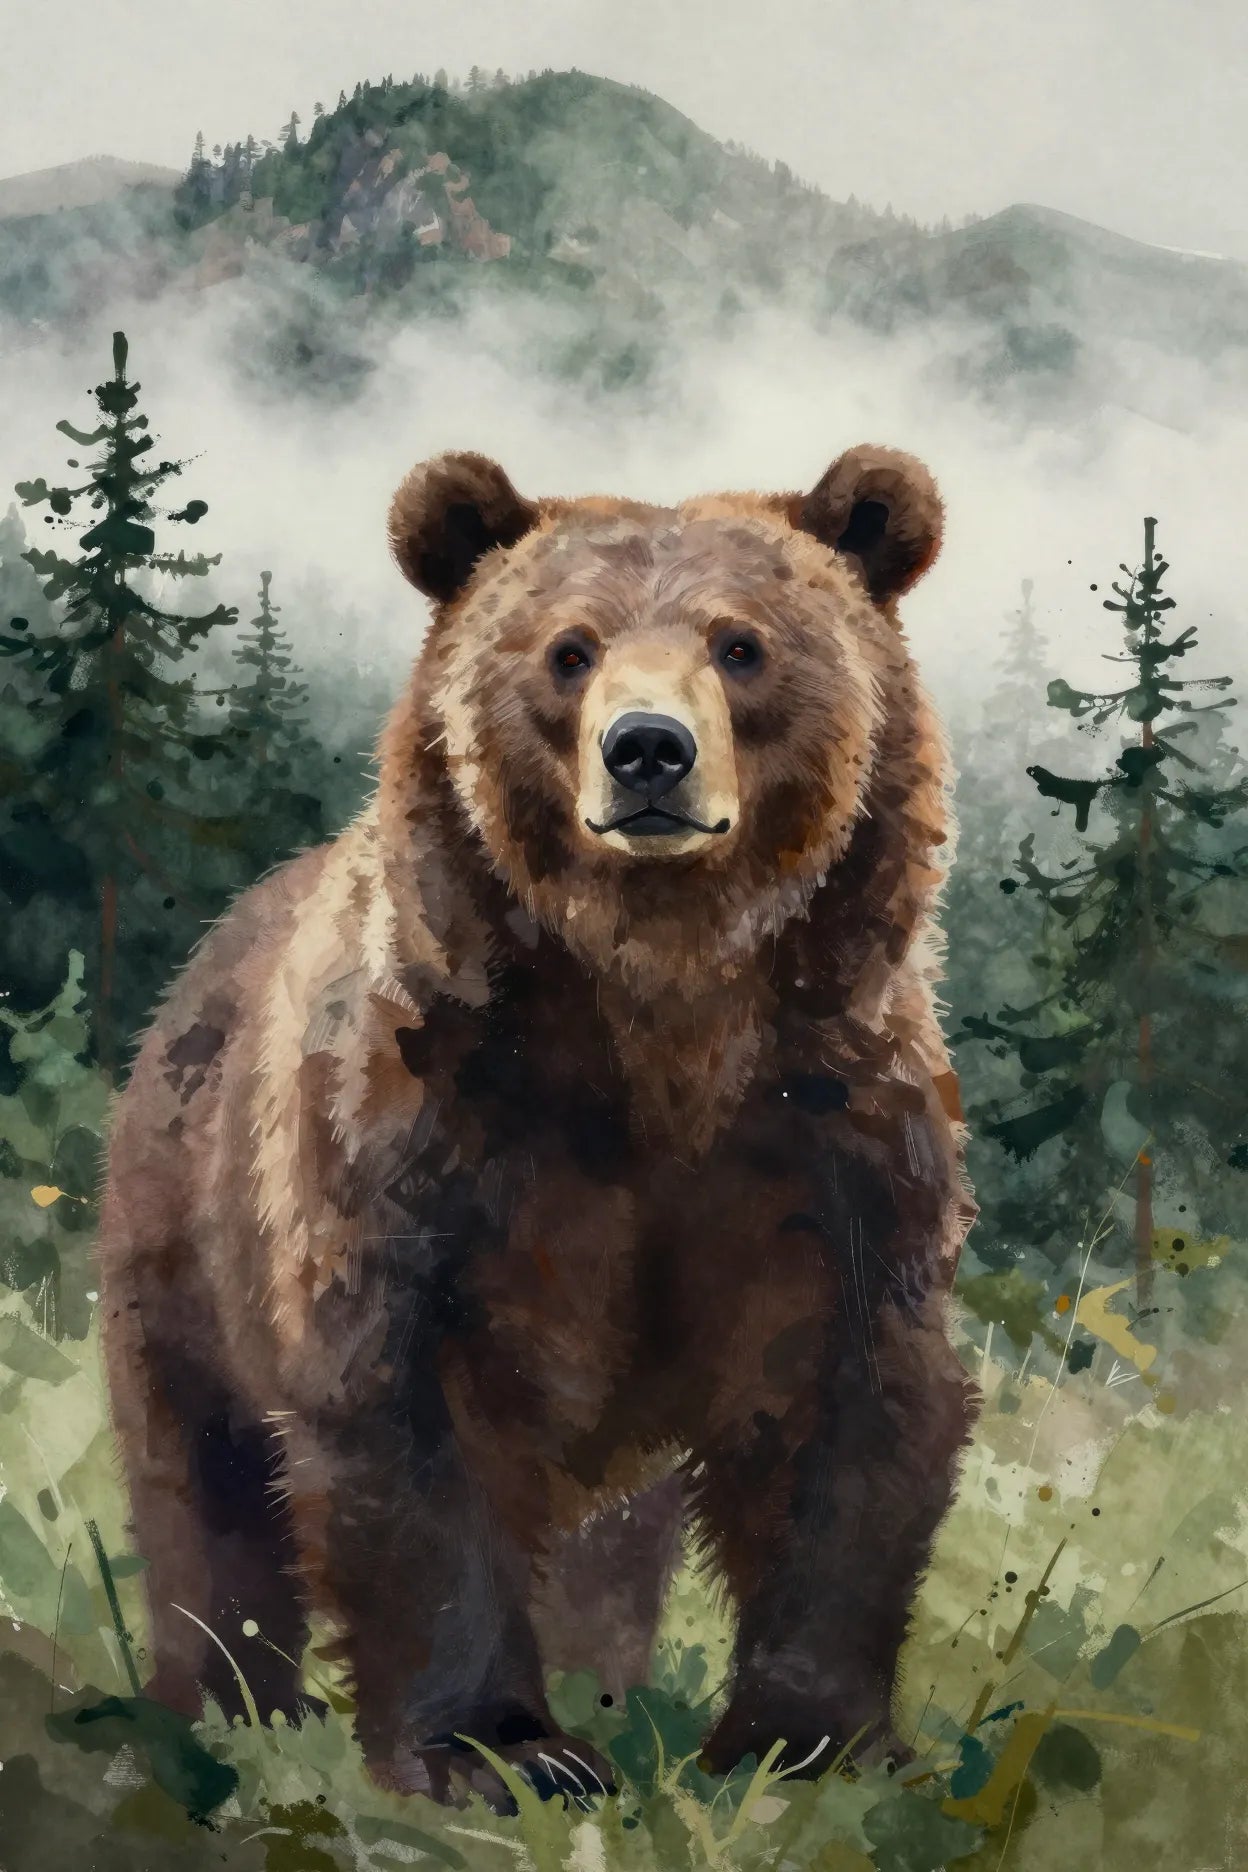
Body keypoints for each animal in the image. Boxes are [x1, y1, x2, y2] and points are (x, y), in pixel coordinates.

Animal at [97, 441, 979, 1808]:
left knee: (614, 1536)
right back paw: (229, 1704)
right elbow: (408, 1410)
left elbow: (850, 1400)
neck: (660, 1020)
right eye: (569, 650)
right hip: (180, 1236)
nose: (648, 750)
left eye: (741, 643)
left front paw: (813, 1738)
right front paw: (497, 1749)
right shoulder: (427, 1132)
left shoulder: (830, 1140)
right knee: (207, 1483)